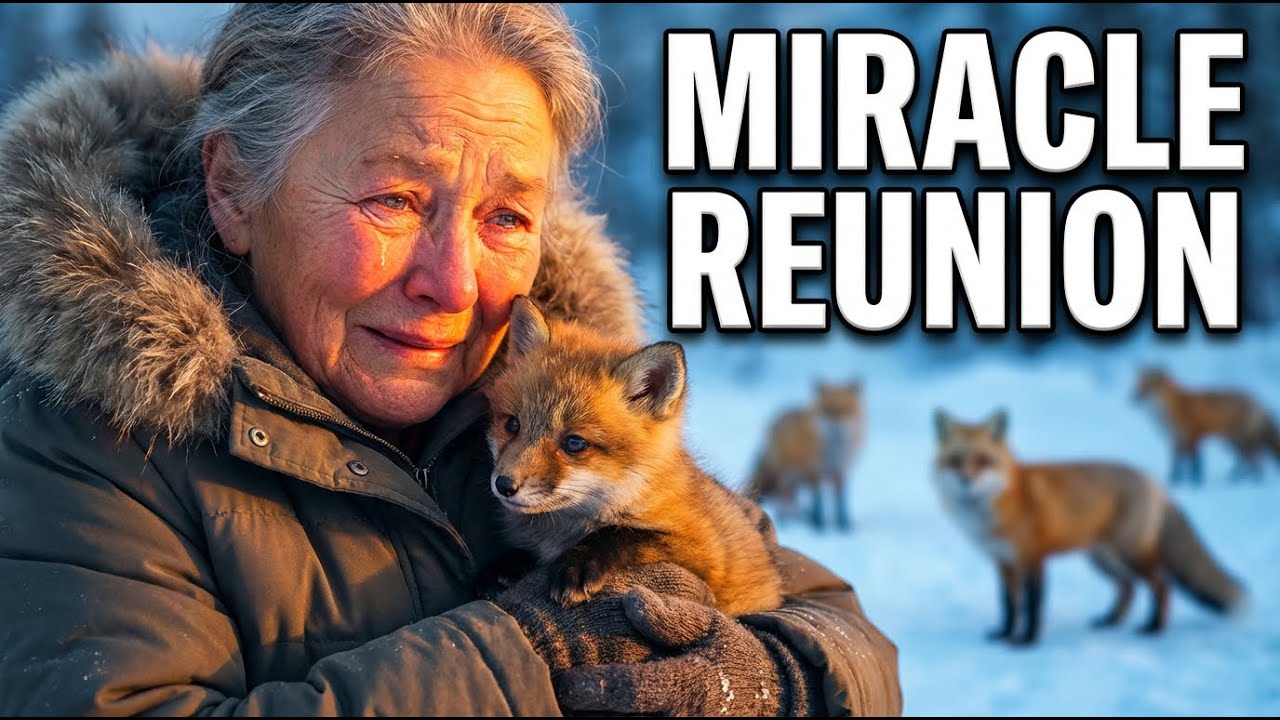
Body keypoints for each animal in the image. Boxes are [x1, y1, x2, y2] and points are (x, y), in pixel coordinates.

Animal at [481, 296, 784, 618]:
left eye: (574, 443)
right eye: (513, 425)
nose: (504, 485)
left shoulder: (704, 554)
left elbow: (626, 535)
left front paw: (577, 563)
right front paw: (504, 568)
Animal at [745, 381, 865, 531]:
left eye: (846, 410)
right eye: (827, 410)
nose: (836, 427)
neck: (832, 453)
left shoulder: (840, 471)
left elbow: (841, 503)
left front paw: (843, 526)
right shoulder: (814, 470)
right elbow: (818, 502)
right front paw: (819, 525)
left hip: (794, 480)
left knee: (790, 500)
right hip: (786, 476)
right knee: (783, 499)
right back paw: (787, 521)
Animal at [932, 408, 1246, 646]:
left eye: (983, 461)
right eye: (955, 461)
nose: (966, 481)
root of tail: (1153, 481)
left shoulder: (1033, 558)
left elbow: (1032, 605)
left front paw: (1027, 642)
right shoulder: (1003, 562)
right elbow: (1008, 604)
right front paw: (1005, 634)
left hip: (1131, 555)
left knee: (1162, 586)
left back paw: (1154, 628)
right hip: (1102, 560)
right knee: (1128, 587)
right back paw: (1110, 621)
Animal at [1135, 367, 1280, 485]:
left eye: (1148, 386)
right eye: (1138, 384)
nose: (1133, 397)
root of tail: (1259, 401)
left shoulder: (1193, 437)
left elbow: (1195, 466)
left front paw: (1194, 485)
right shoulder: (1177, 440)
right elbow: (1177, 466)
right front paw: (1175, 482)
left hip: (1241, 443)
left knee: (1257, 466)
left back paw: (1249, 483)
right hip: (1235, 443)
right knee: (1250, 463)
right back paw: (1238, 478)